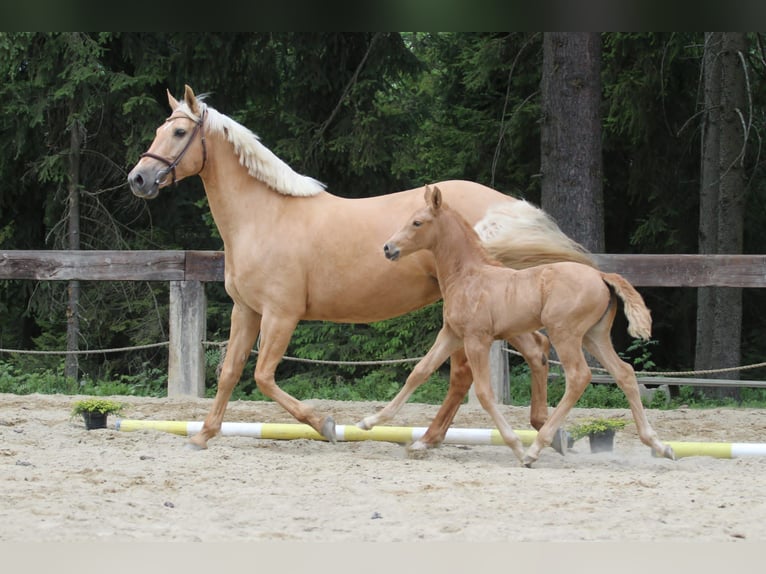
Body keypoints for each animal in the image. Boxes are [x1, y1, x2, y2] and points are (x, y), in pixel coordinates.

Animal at [356, 187, 676, 466]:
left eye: (417, 222)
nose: (388, 248)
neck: (468, 275)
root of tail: (600, 276)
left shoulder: (477, 339)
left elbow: (484, 393)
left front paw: (517, 447)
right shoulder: (451, 334)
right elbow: (419, 372)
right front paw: (369, 421)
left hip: (565, 334)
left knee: (578, 377)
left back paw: (535, 449)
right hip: (594, 337)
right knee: (625, 373)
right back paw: (660, 446)